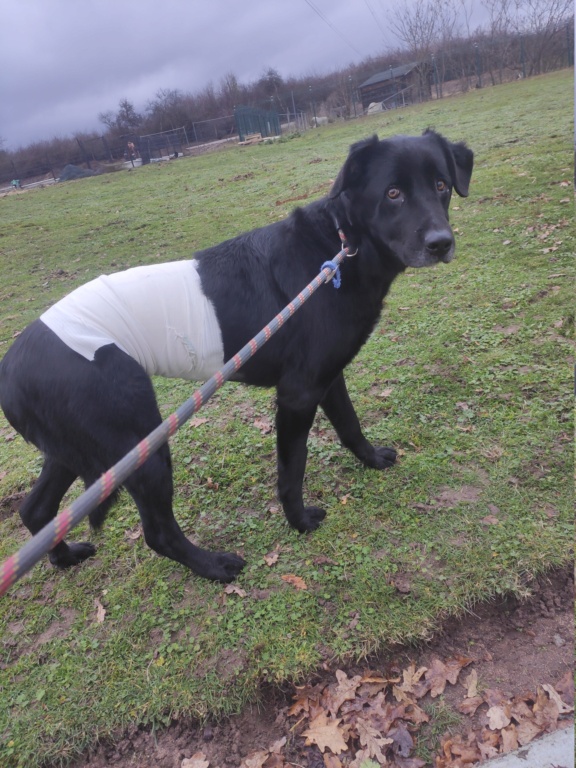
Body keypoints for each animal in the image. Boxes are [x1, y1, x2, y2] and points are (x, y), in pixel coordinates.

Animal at [0, 129, 472, 580]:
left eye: (441, 185)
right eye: (392, 193)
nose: (440, 243)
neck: (340, 248)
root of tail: (9, 372)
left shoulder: (327, 377)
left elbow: (350, 426)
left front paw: (371, 460)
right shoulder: (297, 394)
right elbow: (292, 469)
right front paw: (299, 522)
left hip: (77, 450)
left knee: (35, 511)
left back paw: (64, 557)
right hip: (138, 443)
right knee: (156, 533)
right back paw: (213, 566)